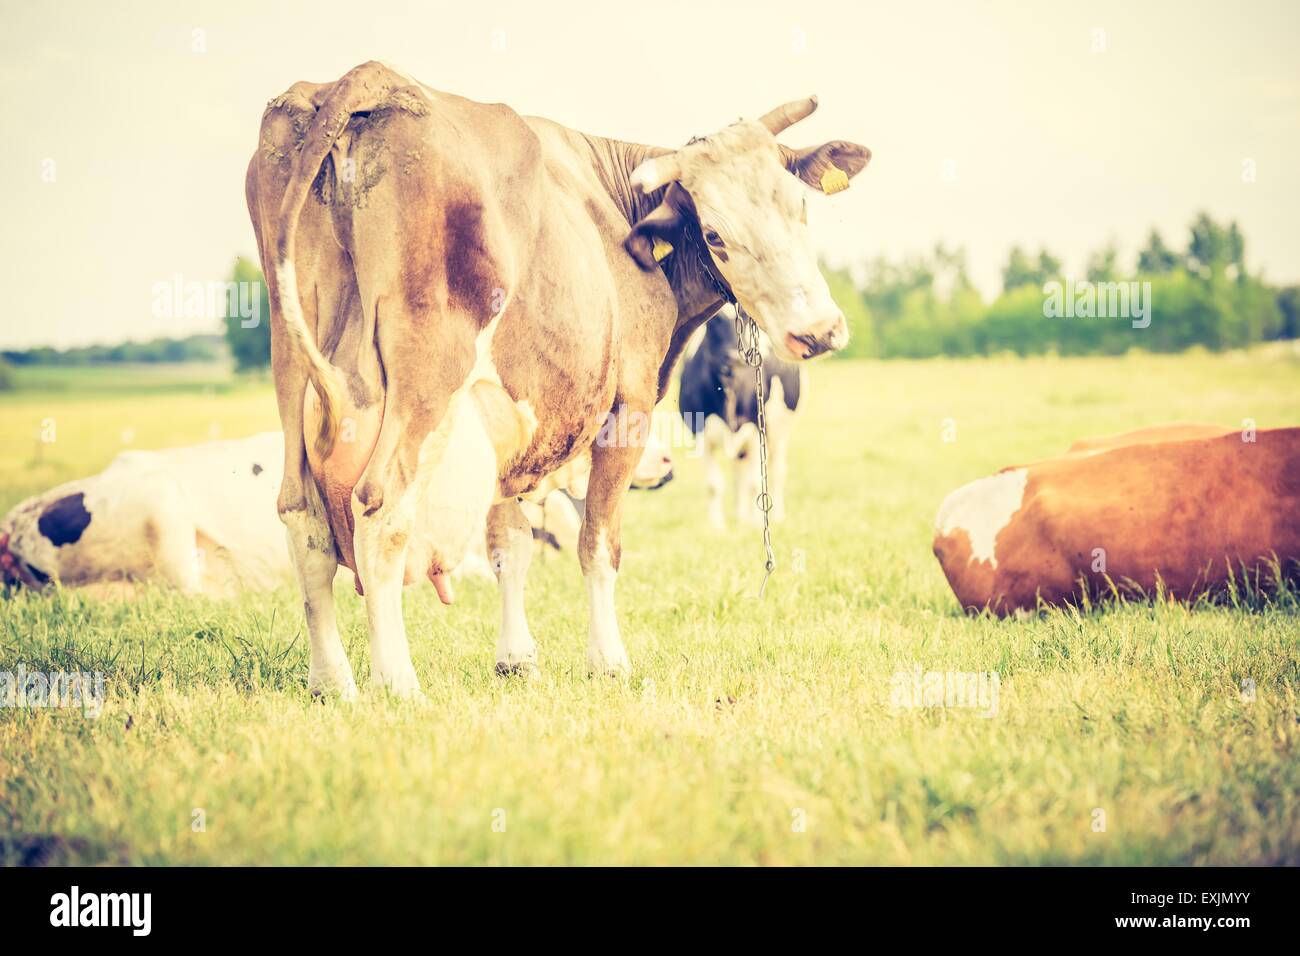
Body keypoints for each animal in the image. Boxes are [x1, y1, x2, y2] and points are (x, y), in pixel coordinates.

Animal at [681, 308, 800, 528]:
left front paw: (755, 523)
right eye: (714, 321)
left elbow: (755, 483)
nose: (734, 358)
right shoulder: (700, 432)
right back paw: (740, 516)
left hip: (781, 430)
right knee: (739, 475)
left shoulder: (755, 430)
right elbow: (713, 484)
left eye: (744, 318)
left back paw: (774, 516)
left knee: (777, 471)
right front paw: (716, 526)